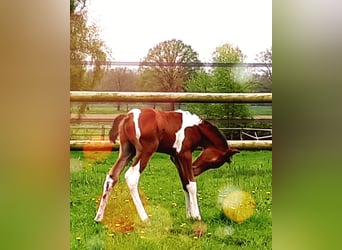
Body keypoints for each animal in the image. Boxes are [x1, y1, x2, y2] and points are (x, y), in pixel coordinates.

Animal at [93, 108, 238, 222]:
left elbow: (185, 183)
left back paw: (99, 217)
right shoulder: (185, 154)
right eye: (214, 162)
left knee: (112, 176)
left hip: (127, 151)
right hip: (145, 151)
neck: (195, 128)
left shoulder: (175, 157)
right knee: (131, 177)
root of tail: (129, 116)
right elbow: (192, 184)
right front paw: (197, 216)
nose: (195, 169)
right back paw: (145, 218)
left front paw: (189, 215)